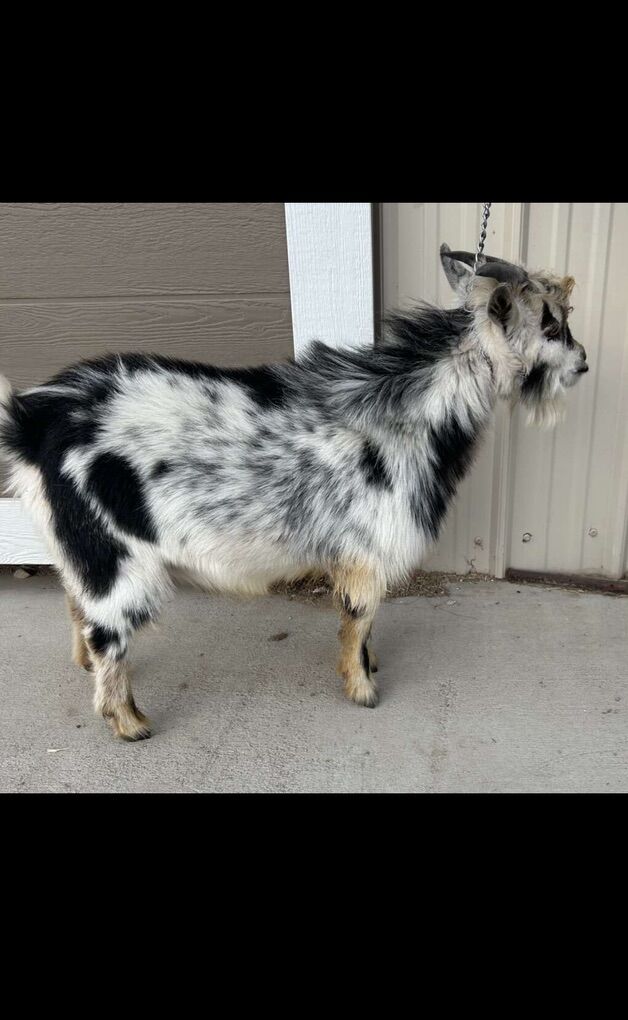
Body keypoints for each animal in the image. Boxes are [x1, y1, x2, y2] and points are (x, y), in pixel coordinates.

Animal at [0, 245, 589, 740]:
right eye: (552, 324)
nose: (583, 361)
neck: (411, 412)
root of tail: (32, 422)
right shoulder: (368, 550)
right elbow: (359, 617)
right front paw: (362, 688)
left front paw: (369, 667)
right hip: (115, 554)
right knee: (108, 629)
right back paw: (128, 721)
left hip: (79, 548)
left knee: (76, 604)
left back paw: (86, 668)